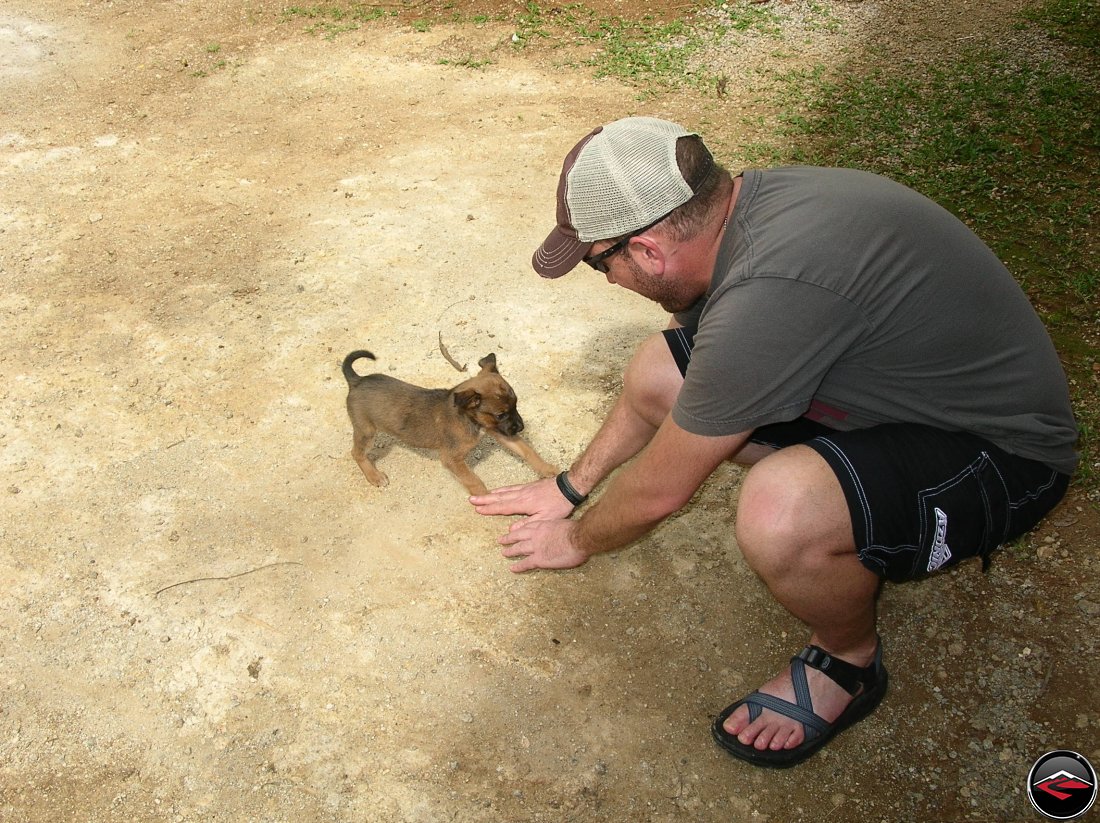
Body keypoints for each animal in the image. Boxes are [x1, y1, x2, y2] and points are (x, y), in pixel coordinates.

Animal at [341, 349, 558, 495]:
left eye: (515, 405)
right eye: (500, 414)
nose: (521, 427)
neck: (469, 419)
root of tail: (356, 380)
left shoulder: (499, 432)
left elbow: (527, 451)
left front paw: (548, 469)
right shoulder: (451, 458)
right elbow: (473, 480)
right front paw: (485, 496)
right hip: (366, 431)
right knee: (356, 453)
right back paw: (374, 476)